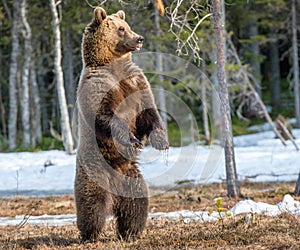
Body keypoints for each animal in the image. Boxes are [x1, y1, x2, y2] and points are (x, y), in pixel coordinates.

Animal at [74, 6, 169, 241]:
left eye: (128, 26)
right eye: (120, 29)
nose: (139, 38)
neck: (114, 66)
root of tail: (114, 187)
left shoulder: (136, 82)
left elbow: (149, 113)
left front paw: (161, 141)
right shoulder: (98, 87)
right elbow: (105, 117)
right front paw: (133, 140)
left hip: (130, 175)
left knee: (136, 202)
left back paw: (131, 231)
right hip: (94, 169)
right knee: (92, 204)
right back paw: (89, 234)